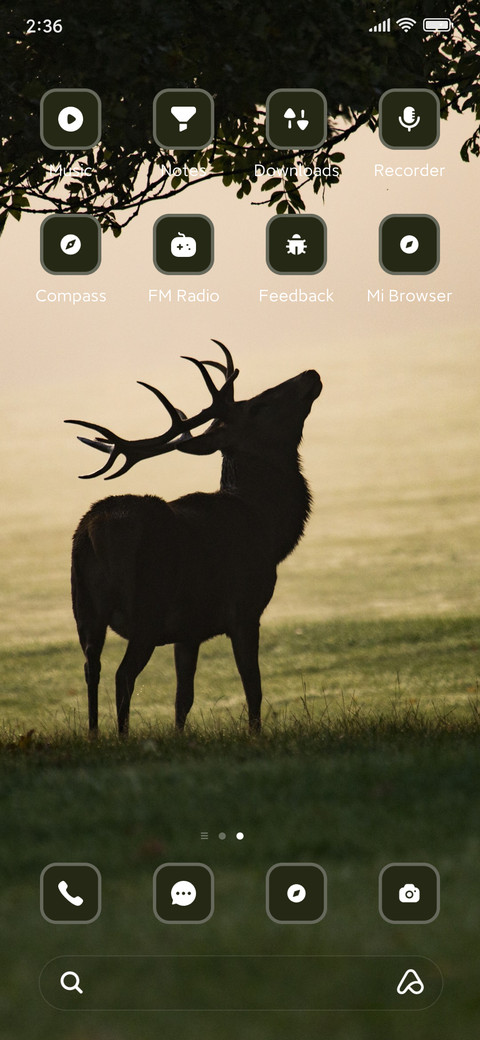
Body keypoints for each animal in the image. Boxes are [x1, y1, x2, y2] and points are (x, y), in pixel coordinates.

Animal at [66, 342, 321, 737]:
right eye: (257, 406)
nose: (310, 374)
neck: (268, 528)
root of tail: (95, 529)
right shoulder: (245, 609)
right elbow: (254, 686)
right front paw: (255, 734)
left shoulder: (188, 631)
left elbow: (182, 698)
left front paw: (179, 736)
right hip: (147, 607)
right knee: (123, 676)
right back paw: (121, 737)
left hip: (85, 608)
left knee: (90, 668)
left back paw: (95, 736)